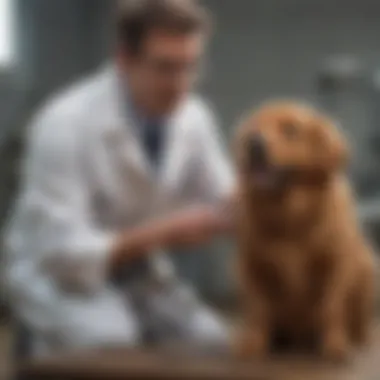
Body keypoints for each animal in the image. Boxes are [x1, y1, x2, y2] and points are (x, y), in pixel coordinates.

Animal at [233, 101, 376, 362]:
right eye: (252, 128)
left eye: (291, 129)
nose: (254, 144)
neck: (291, 219)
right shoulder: (251, 265)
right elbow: (257, 310)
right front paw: (252, 344)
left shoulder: (336, 264)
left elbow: (331, 308)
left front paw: (334, 345)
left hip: (368, 265)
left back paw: (358, 339)